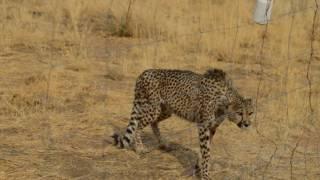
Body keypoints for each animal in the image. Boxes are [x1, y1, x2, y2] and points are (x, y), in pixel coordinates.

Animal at [111, 68, 254, 179]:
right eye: (240, 113)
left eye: (251, 113)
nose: (247, 124)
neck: (223, 100)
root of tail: (145, 72)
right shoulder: (203, 126)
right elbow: (206, 151)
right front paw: (205, 174)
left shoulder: (212, 127)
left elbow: (205, 150)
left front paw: (198, 168)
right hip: (153, 108)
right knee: (139, 125)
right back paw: (140, 148)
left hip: (166, 110)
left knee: (153, 123)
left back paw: (163, 144)